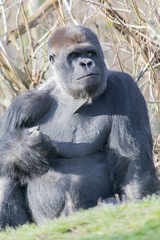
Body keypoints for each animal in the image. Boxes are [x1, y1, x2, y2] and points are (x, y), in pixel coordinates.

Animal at [0, 24, 160, 229]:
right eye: (74, 55)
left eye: (90, 53)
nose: (86, 63)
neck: (72, 95)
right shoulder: (23, 104)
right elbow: (5, 145)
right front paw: (24, 149)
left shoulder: (124, 87)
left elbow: (133, 163)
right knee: (8, 170)